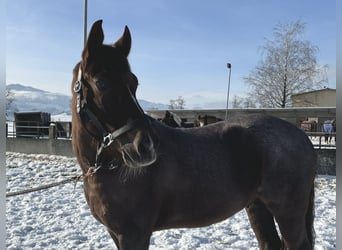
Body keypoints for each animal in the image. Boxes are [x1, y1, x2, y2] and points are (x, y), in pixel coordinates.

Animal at [71, 20, 318, 250]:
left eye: (134, 82)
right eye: (101, 83)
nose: (146, 146)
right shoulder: (117, 234)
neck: (106, 168)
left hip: (287, 212)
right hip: (258, 207)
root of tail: (301, 137)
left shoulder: (133, 234)